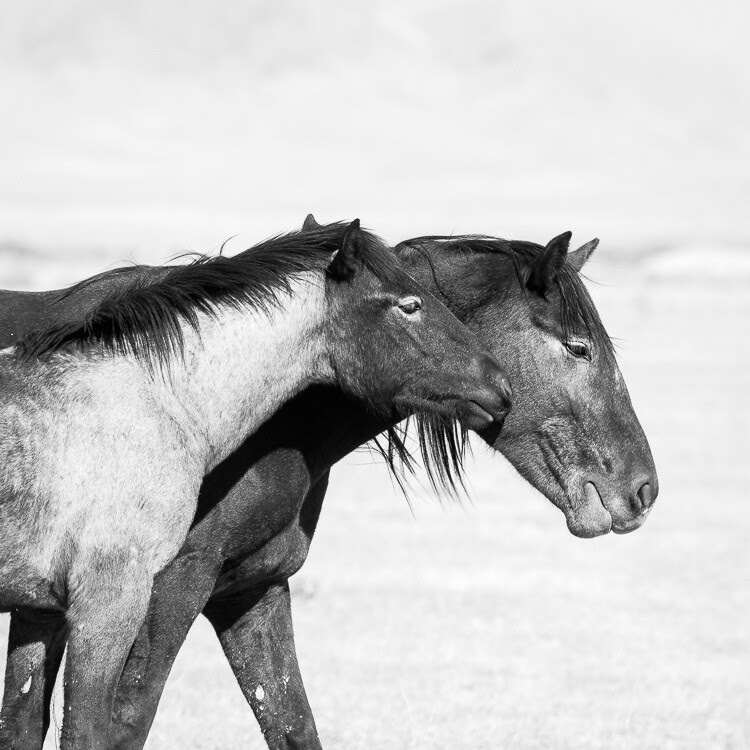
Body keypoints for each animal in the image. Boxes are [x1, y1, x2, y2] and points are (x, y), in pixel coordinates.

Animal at [0, 217, 658, 750]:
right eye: (579, 347)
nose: (643, 491)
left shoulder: (251, 591)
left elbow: (292, 723)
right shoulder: (153, 590)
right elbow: (116, 722)